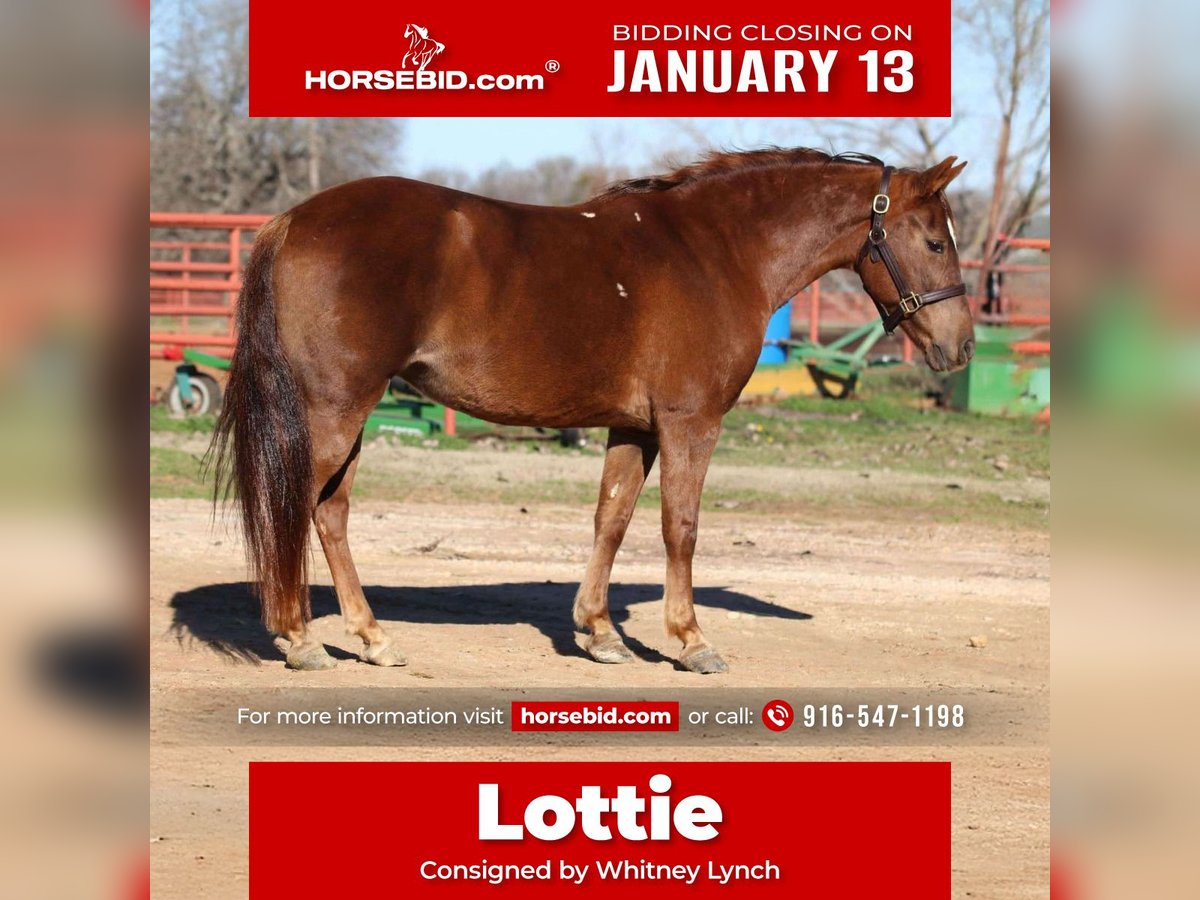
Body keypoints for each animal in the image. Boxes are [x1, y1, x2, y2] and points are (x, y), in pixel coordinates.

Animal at [211, 148, 969, 672]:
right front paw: (690, 640)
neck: (715, 253)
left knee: (330, 512)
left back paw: (371, 637)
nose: (960, 347)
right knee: (298, 504)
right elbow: (680, 528)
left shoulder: (634, 427)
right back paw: (299, 637)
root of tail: (292, 221)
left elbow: (613, 519)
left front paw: (601, 633)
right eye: (935, 241)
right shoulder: (690, 422)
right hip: (335, 410)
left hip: (345, 414)